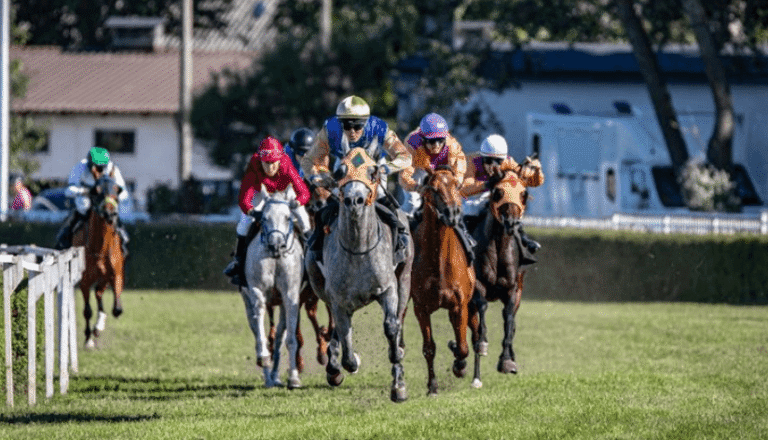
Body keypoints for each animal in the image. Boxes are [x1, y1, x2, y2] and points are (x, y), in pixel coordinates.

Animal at [72, 174, 125, 349]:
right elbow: (87, 311)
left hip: (103, 279)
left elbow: (117, 309)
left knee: (99, 293)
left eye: (117, 189)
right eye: (96, 190)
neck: (100, 248)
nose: (110, 214)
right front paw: (88, 338)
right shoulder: (84, 280)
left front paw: (98, 328)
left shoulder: (116, 275)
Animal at [240, 188, 304, 389]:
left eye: (287, 217)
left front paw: (293, 377)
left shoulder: (291, 295)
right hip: (247, 301)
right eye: (264, 218)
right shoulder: (256, 290)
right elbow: (259, 321)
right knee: (258, 330)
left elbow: (290, 339)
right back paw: (268, 376)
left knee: (278, 339)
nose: (276, 245)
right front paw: (263, 357)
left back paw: (275, 376)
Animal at [304, 147, 413, 402]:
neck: (358, 248)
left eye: (373, 172)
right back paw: (334, 367)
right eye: (339, 172)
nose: (355, 200)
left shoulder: (388, 288)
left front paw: (398, 379)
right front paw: (344, 364)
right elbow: (346, 349)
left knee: (399, 319)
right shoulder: (339, 300)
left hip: (405, 279)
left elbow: (391, 326)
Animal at [410, 166, 476, 395]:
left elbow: (463, 346)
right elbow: (429, 348)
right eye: (434, 188)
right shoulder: (420, 308)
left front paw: (459, 365)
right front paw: (432, 386)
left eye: (456, 184)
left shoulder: (459, 305)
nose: (452, 213)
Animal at [468, 171, 531, 388]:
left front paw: (506, 361)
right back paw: (475, 377)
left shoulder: (514, 290)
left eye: (523, 193)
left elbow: (509, 320)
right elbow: (482, 311)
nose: (511, 223)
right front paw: (483, 343)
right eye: (497, 192)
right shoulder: (477, 287)